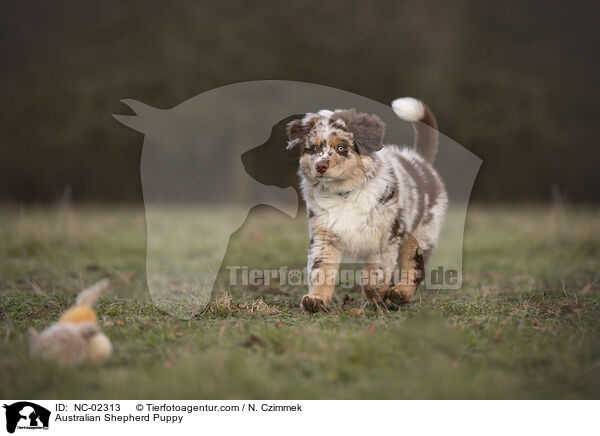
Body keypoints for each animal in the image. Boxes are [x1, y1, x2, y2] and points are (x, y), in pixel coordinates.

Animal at [286, 97, 446, 312]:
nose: (320, 166)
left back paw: (400, 294)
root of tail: (421, 161)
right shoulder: (324, 235)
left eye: (341, 148)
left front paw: (380, 294)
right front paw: (316, 299)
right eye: (315, 148)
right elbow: (322, 270)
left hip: (421, 232)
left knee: (414, 266)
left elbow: (374, 275)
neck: (344, 194)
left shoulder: (385, 235)